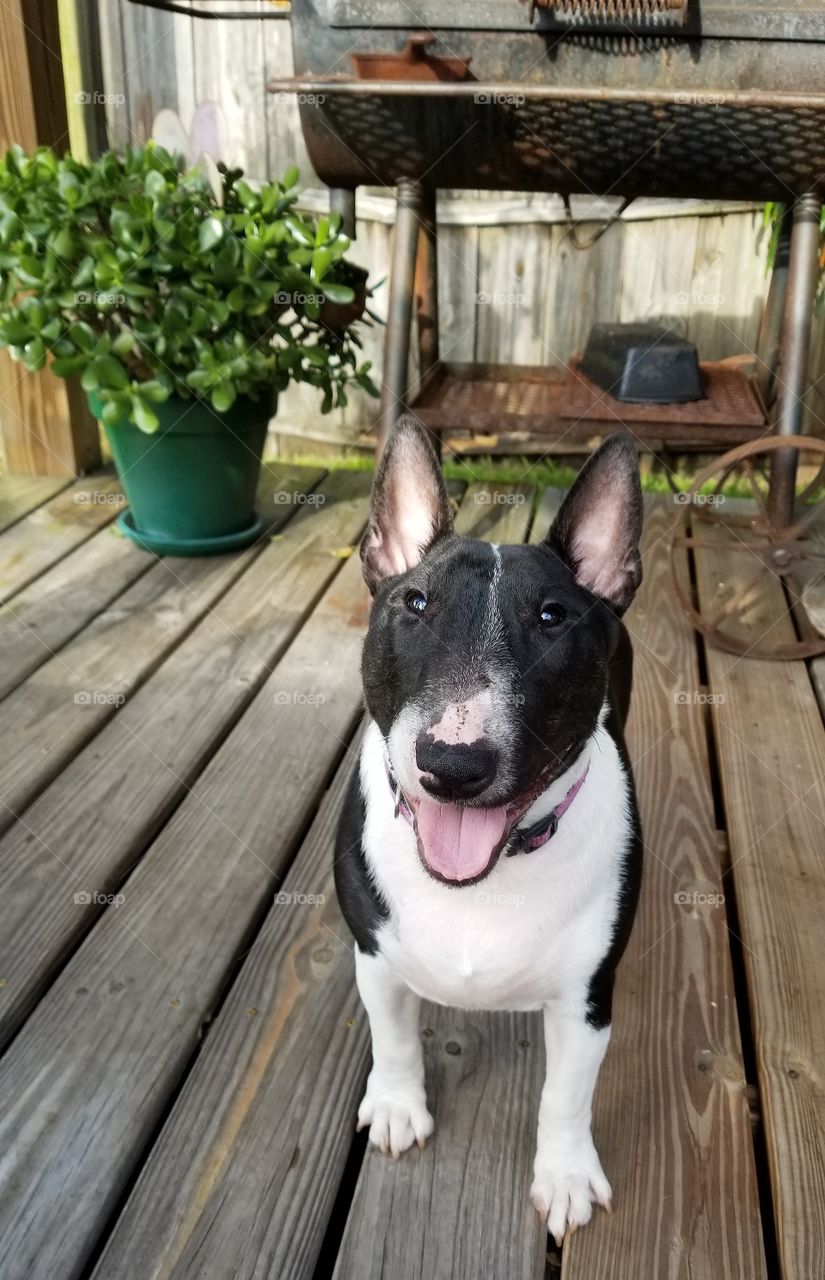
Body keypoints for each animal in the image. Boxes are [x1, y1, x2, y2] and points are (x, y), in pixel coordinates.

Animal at [335, 419, 644, 1239]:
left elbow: (566, 1095)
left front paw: (565, 1176)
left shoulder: (586, 999)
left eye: (552, 617)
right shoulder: (375, 954)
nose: (452, 763)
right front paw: (397, 1105)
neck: (484, 878)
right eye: (414, 602)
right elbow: (393, 1038)